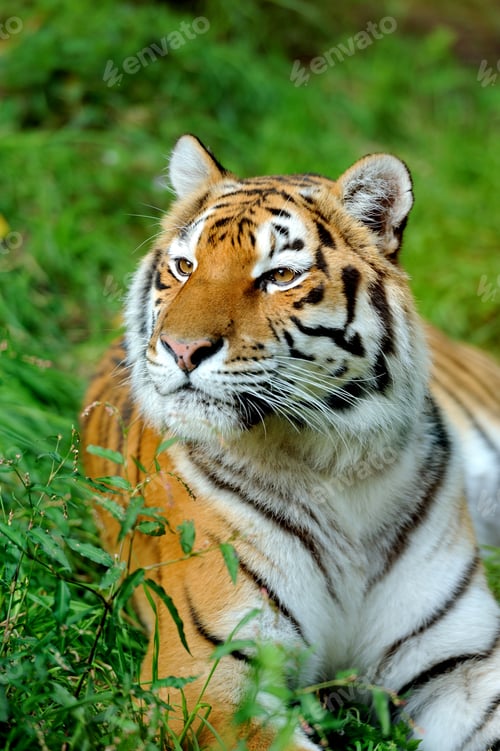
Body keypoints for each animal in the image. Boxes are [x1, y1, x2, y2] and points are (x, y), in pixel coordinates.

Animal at [83, 134, 500, 750]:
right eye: (184, 267)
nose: (181, 349)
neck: (337, 464)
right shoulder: (205, 680)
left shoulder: (462, 659)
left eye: (279, 276)